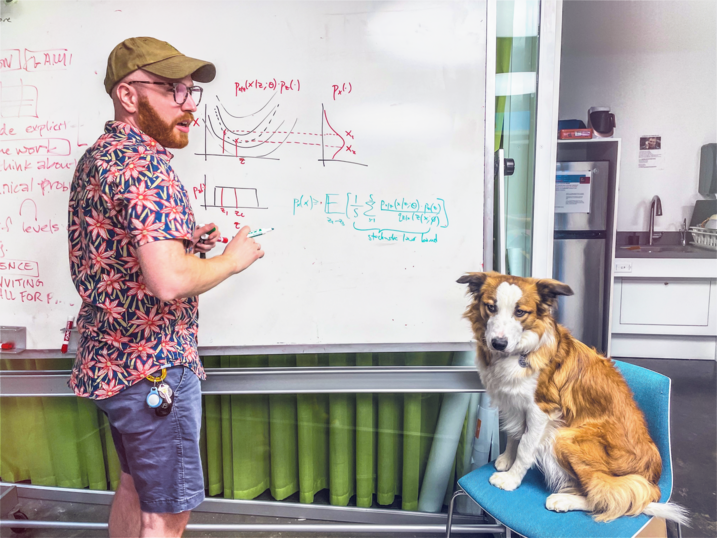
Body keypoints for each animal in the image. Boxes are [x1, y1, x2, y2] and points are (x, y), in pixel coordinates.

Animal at [458, 270, 688, 520]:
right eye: (491, 307)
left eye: (520, 312)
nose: (498, 343)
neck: (519, 352)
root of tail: (654, 483)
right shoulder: (514, 403)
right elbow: (514, 434)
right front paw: (506, 460)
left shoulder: (541, 410)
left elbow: (525, 446)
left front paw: (511, 479)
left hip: (565, 437)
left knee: (611, 497)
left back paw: (564, 500)